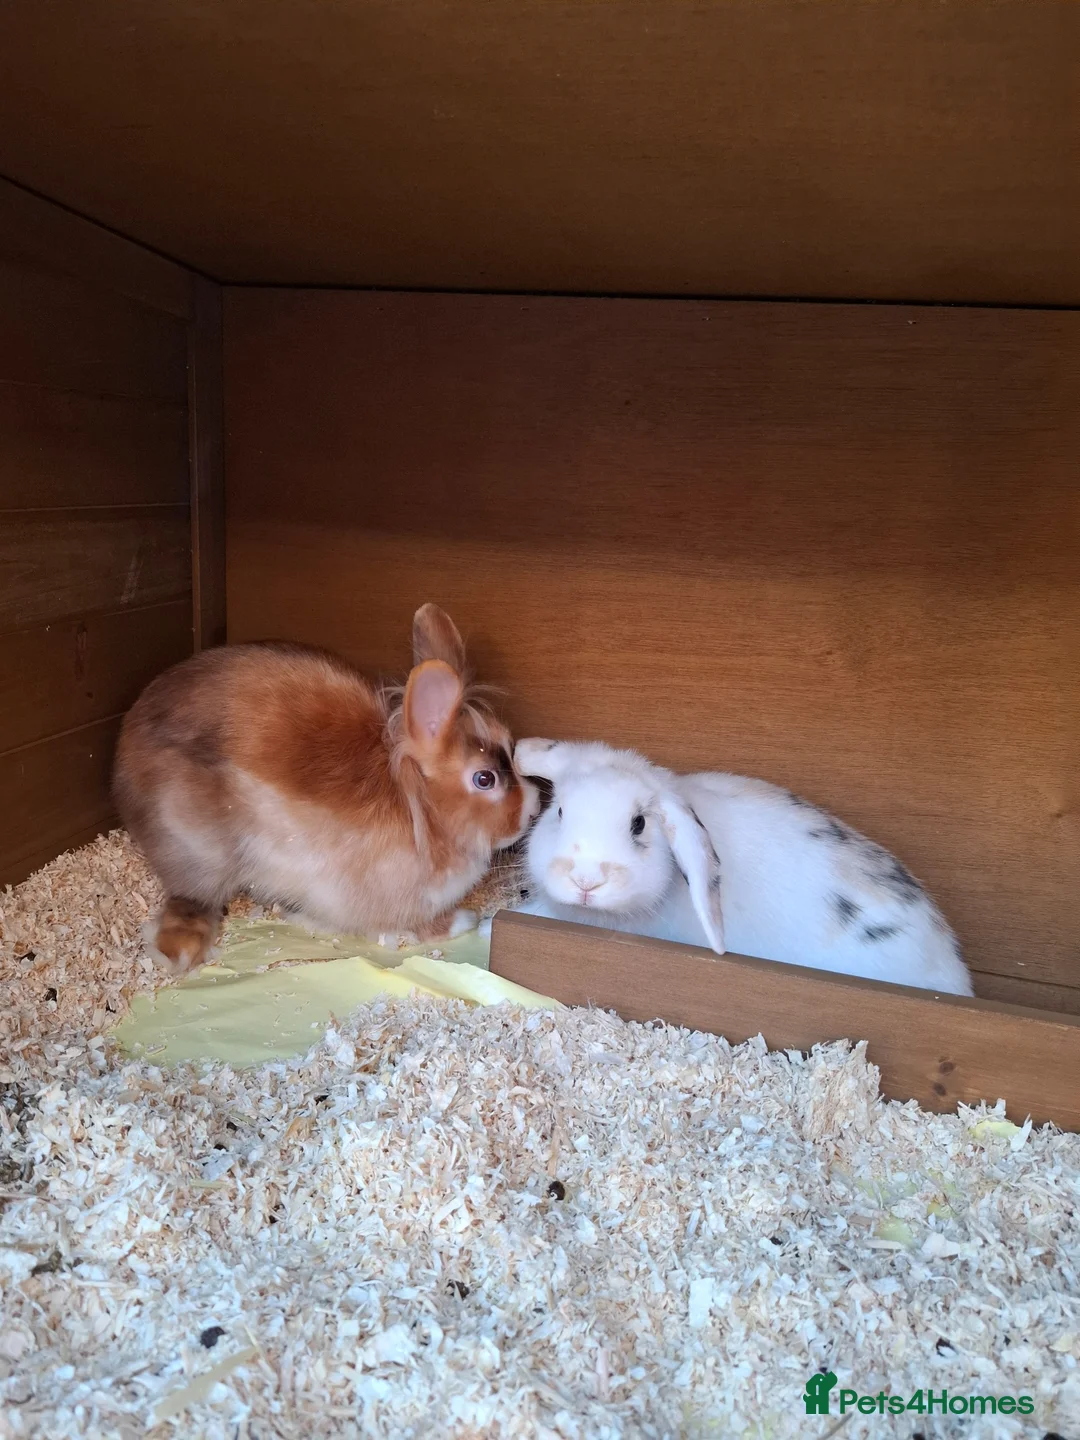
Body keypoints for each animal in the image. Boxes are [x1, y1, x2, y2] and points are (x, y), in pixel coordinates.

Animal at [112, 604, 540, 974]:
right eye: (485, 779)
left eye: (510, 744)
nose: (535, 806)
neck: (423, 808)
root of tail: (123, 757)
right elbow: (416, 927)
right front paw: (466, 920)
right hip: (198, 845)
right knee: (191, 897)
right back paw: (180, 950)